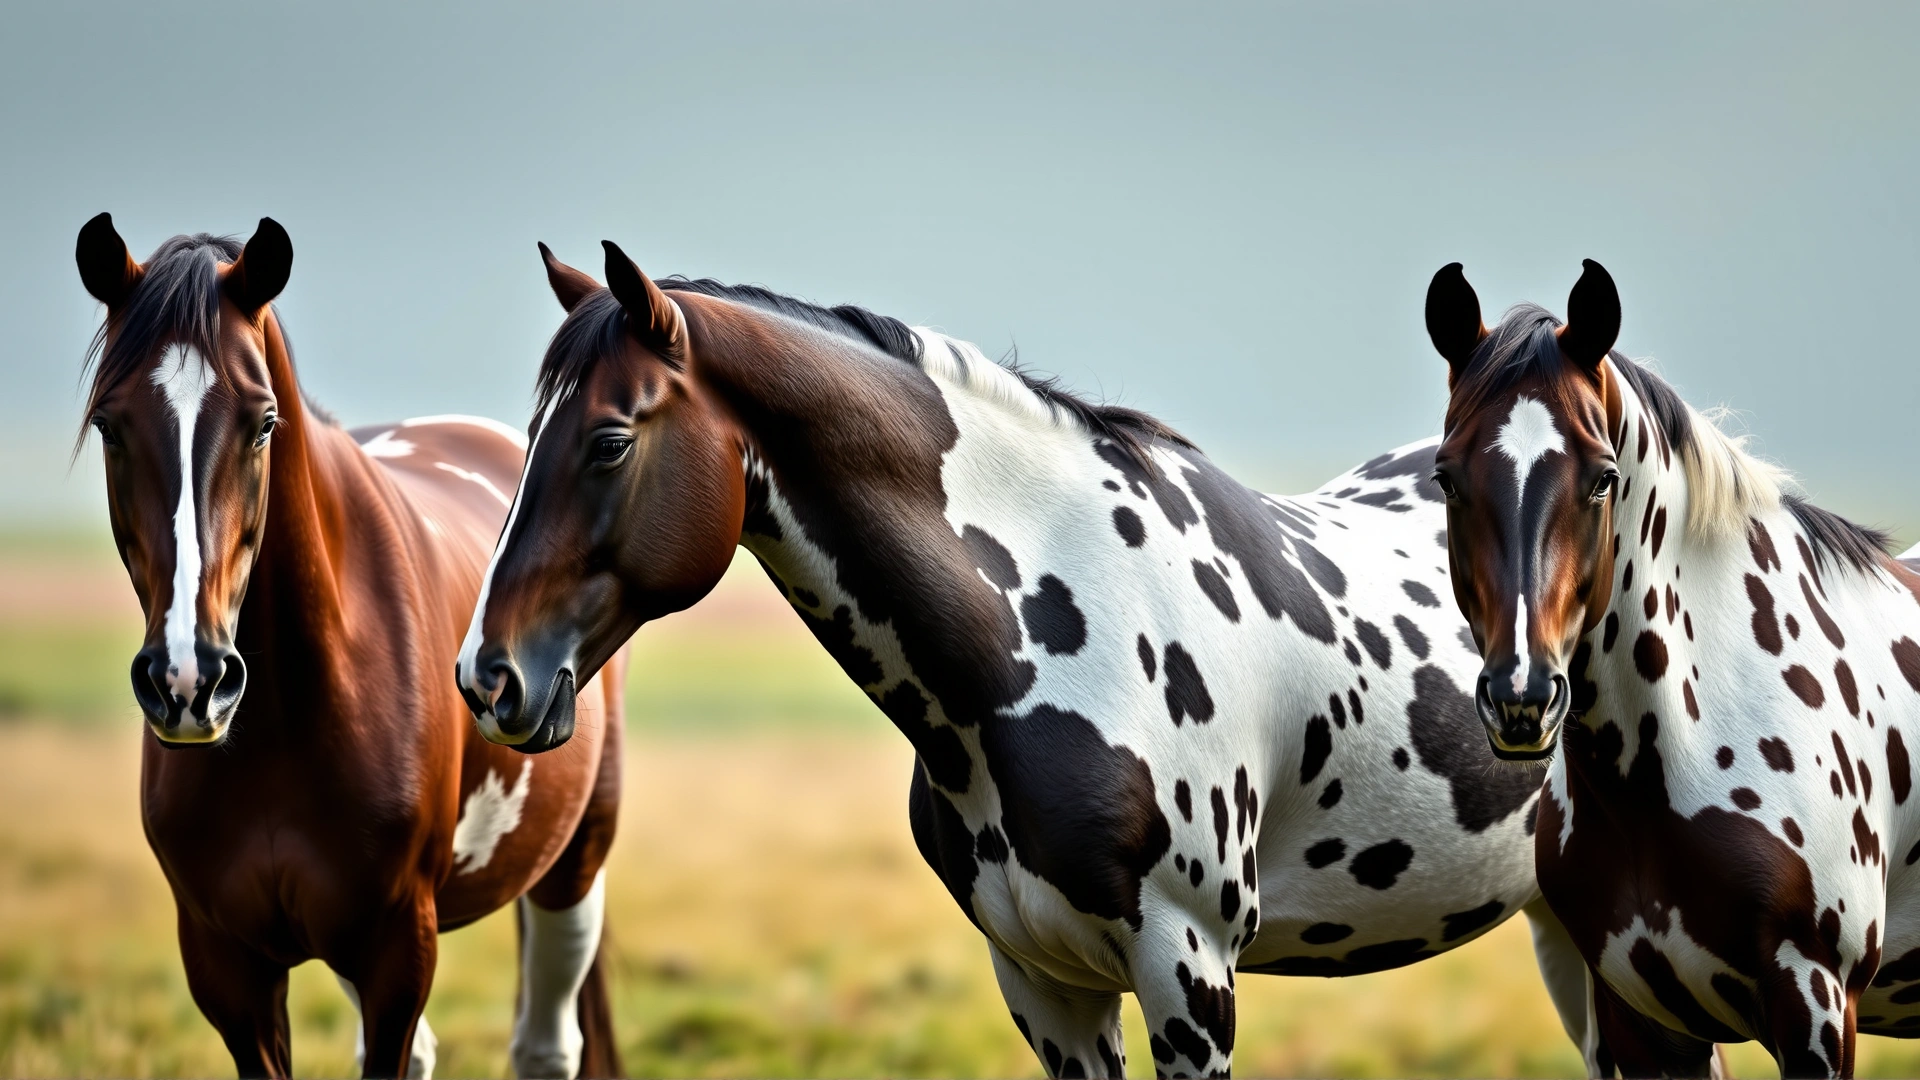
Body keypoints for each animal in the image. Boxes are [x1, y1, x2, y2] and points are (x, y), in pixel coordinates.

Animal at [74, 215, 626, 1080]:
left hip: (575, 860)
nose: (189, 682)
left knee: (546, 1043)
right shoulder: (229, 968)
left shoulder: (397, 949)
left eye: (263, 422)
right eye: (109, 424)